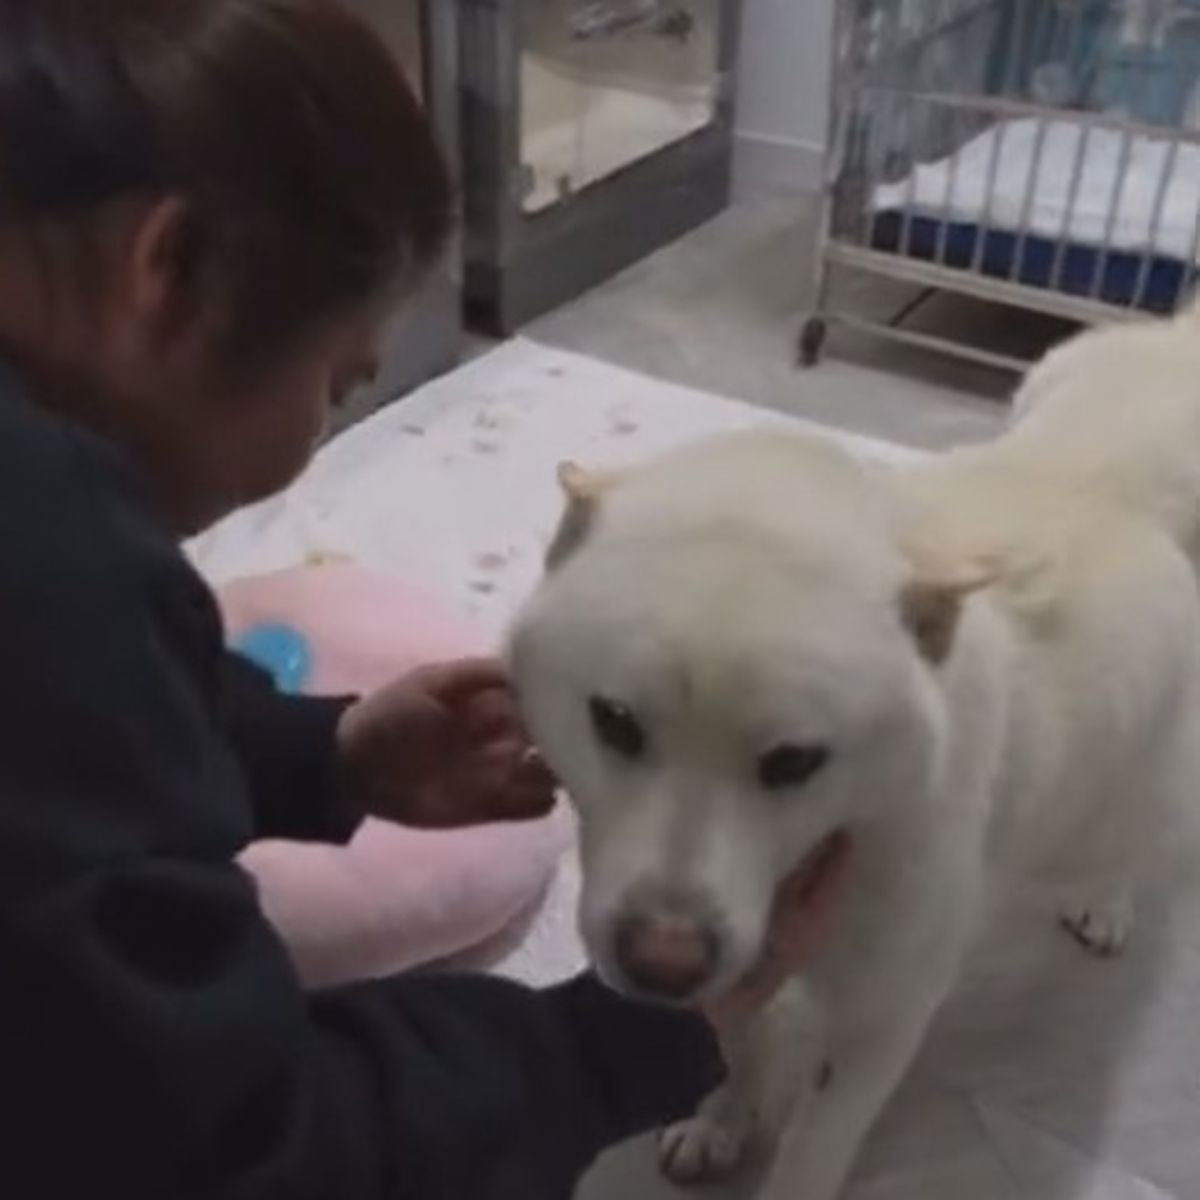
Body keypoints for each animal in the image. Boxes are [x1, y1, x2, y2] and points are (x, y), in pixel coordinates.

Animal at [511, 304, 1200, 1195]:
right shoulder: (742, 953)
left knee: (1141, 835)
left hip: (1140, 778)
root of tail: (1176, 344)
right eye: (616, 722)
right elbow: (738, 1041)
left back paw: (1108, 902)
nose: (663, 962)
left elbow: (813, 1148)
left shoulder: (885, 1011)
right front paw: (723, 1122)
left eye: (795, 762)